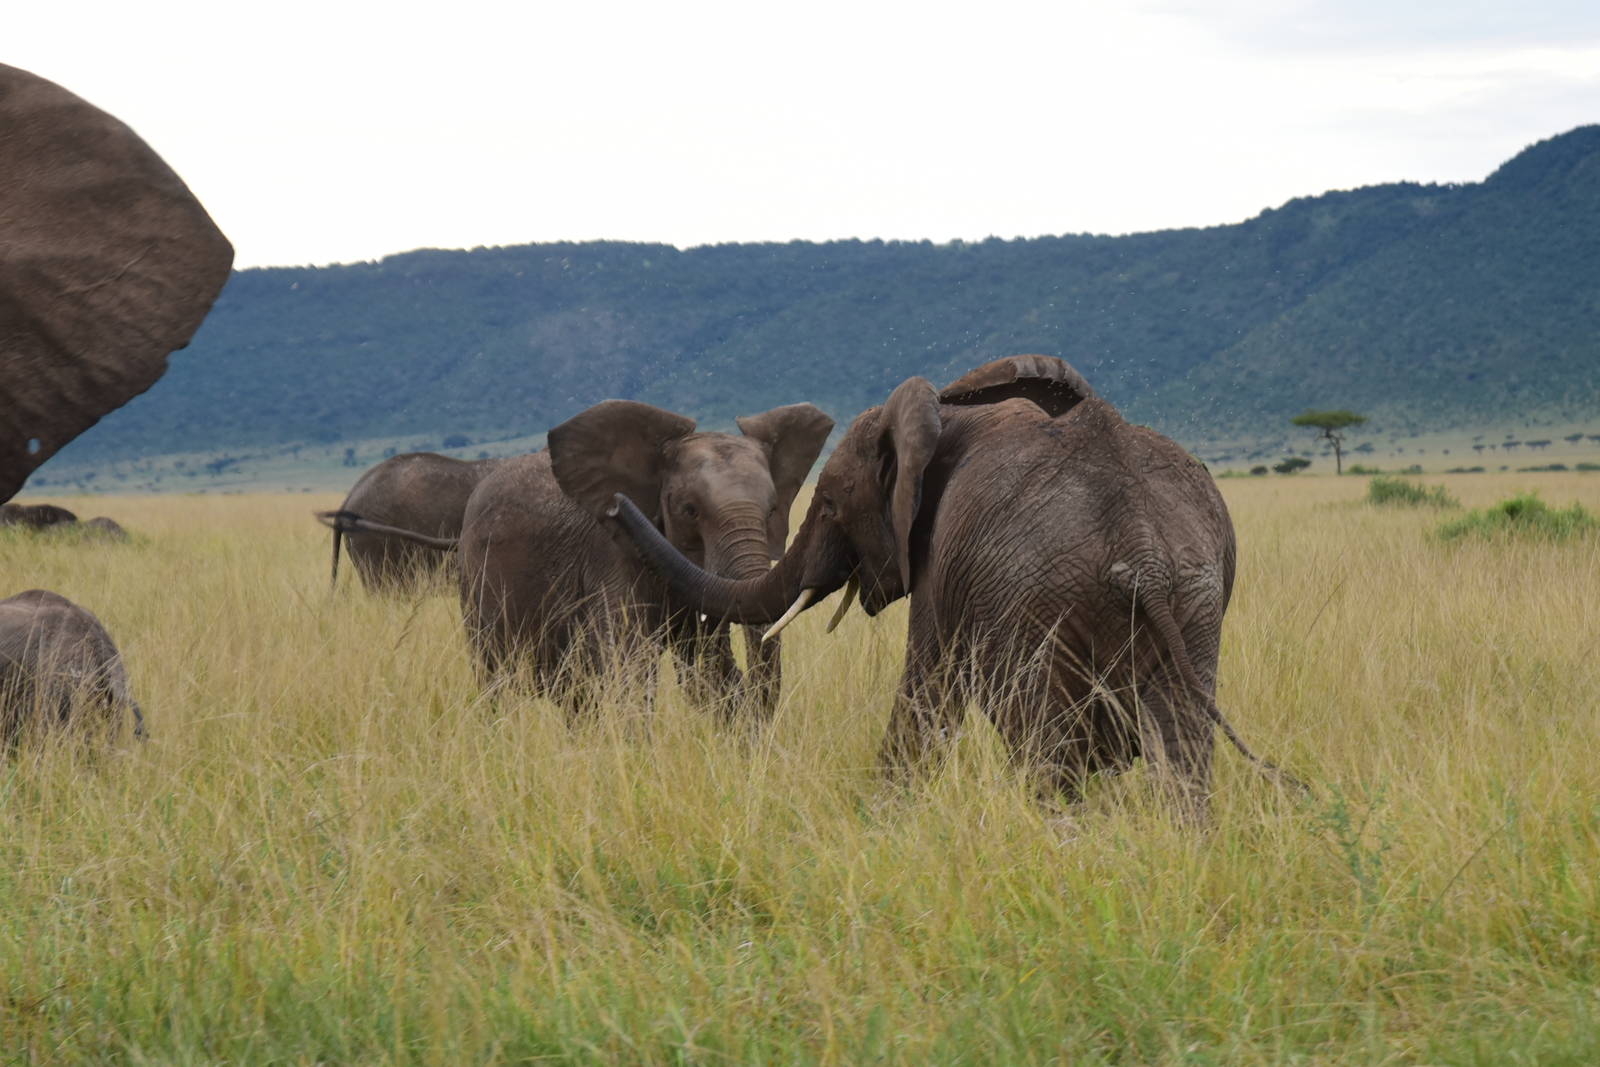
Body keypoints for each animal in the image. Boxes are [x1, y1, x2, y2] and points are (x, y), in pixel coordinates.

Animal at [607, 355, 1299, 819]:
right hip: (1195, 603)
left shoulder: (942, 563)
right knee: (1180, 749)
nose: (613, 507)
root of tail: (1144, 551)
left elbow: (925, 692)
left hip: (1044, 605)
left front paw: (880, 822)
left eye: (828, 504)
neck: (949, 417)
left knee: (1050, 751)